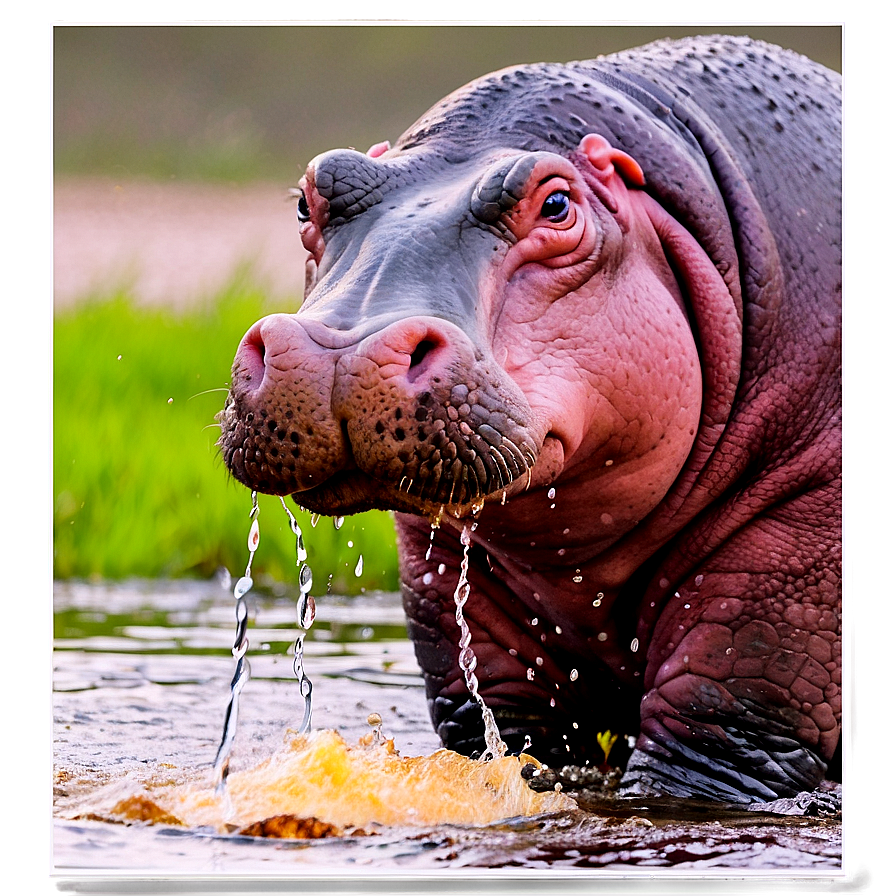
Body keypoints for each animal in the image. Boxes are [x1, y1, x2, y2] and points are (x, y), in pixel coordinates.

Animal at [217, 36, 840, 804]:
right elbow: (509, 741)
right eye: (309, 199)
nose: (337, 351)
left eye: (559, 204)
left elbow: (710, 734)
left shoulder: (789, 555)